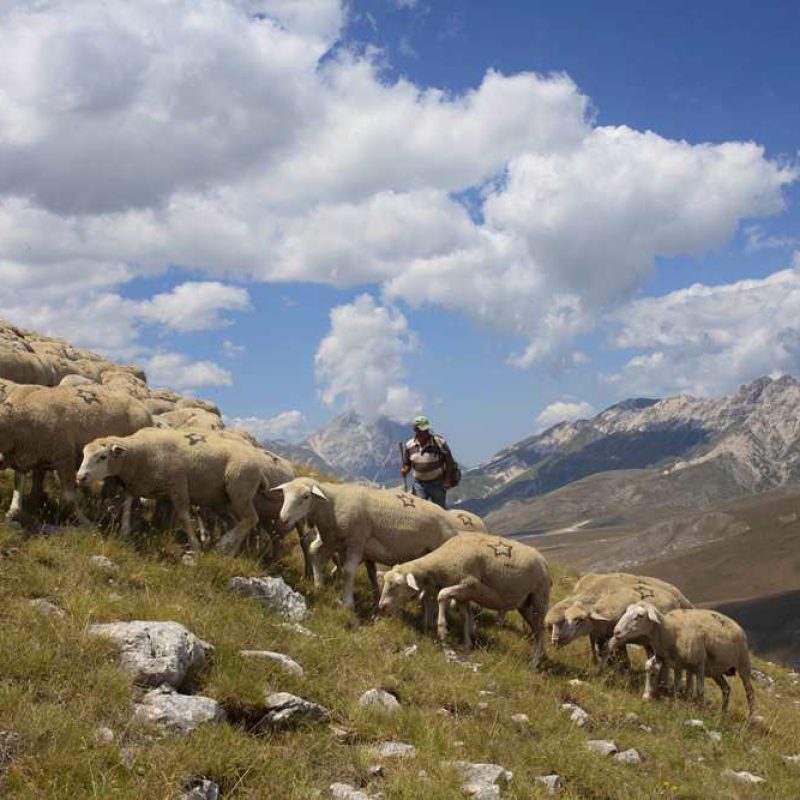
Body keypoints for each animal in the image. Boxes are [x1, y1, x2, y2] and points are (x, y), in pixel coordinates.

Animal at [0, 382, 152, 520]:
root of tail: (145, 410)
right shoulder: (25, 456)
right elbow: (19, 483)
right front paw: (14, 510)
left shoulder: (65, 459)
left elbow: (69, 498)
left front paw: (83, 522)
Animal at [378, 532, 548, 668]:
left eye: (397, 584)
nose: (382, 606)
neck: (442, 563)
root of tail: (543, 560)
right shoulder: (463, 595)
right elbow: (465, 616)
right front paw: (467, 644)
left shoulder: (470, 585)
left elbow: (442, 595)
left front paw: (442, 630)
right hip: (524, 604)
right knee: (537, 629)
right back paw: (542, 655)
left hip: (540, 597)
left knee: (540, 629)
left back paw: (534, 662)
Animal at [608, 604, 752, 716]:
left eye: (639, 616)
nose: (616, 632)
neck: (670, 632)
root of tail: (738, 627)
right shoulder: (671, 661)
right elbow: (657, 672)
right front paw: (650, 696)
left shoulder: (699, 664)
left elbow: (700, 689)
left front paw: (699, 711)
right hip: (716, 671)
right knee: (726, 689)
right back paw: (723, 715)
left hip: (743, 664)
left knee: (750, 692)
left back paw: (750, 718)